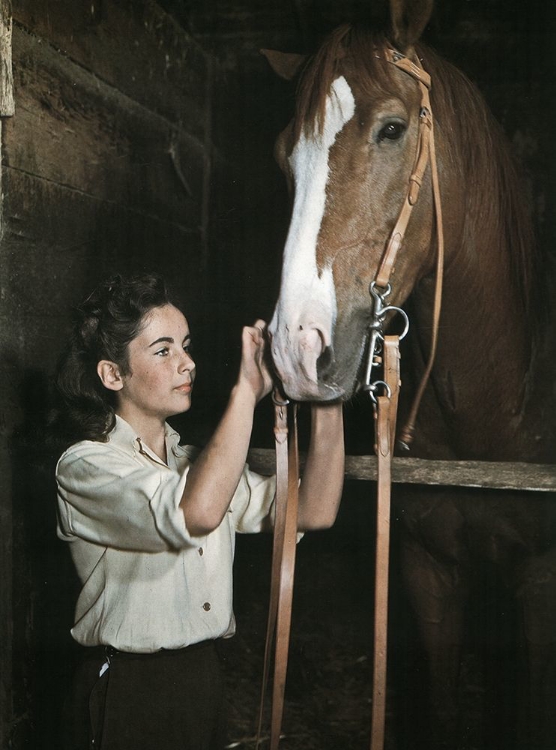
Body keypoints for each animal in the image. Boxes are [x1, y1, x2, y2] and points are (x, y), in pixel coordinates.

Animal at [264, 2, 556, 748]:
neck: (491, 399)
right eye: (285, 156)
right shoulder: (428, 572)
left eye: (392, 129)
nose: (296, 349)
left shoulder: (539, 581)